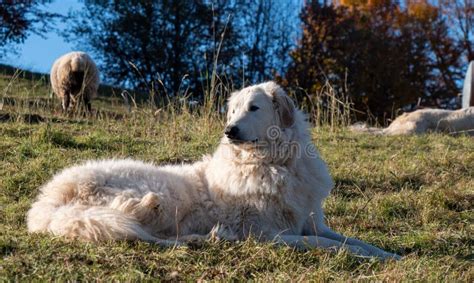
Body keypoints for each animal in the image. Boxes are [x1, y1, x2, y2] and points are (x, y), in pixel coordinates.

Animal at [27, 81, 400, 260]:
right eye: (233, 111)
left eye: (254, 108)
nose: (229, 130)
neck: (272, 163)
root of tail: (46, 202)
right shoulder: (269, 234)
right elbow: (330, 246)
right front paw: (368, 257)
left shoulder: (310, 222)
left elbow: (354, 240)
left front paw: (389, 254)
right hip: (155, 197)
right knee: (143, 231)